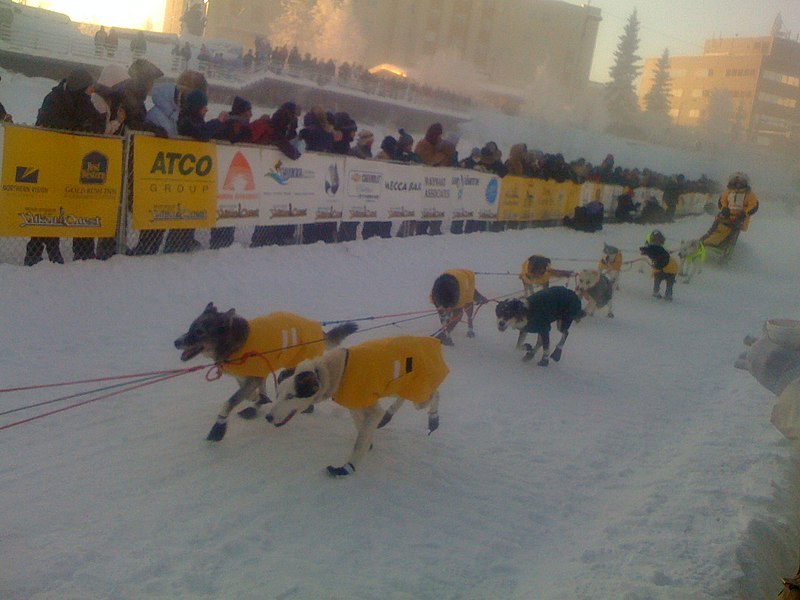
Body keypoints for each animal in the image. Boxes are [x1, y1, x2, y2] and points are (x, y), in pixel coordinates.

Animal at [174, 304, 356, 440]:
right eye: (190, 328)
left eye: (199, 332)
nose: (176, 342)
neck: (235, 343)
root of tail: (319, 330)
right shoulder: (250, 376)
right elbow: (251, 394)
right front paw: (258, 401)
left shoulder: (253, 377)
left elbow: (230, 402)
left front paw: (219, 426)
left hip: (296, 367)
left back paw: (306, 407)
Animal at [264, 336, 446, 476]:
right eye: (278, 394)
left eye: (290, 396)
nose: (268, 417)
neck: (333, 371)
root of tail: (432, 341)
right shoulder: (357, 406)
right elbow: (361, 427)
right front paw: (369, 442)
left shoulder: (372, 411)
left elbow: (358, 444)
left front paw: (347, 467)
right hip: (399, 388)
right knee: (406, 397)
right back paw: (390, 413)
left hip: (419, 397)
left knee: (435, 394)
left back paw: (433, 418)